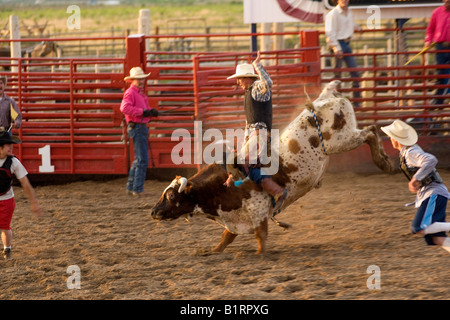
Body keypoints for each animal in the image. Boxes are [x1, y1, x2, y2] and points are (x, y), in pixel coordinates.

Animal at [149, 80, 392, 255]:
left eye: (171, 196)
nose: (153, 212)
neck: (220, 186)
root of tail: (324, 98)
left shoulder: (258, 210)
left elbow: (260, 236)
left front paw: (260, 254)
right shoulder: (236, 218)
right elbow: (226, 238)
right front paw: (211, 251)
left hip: (341, 140)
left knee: (370, 132)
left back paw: (384, 163)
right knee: (371, 130)